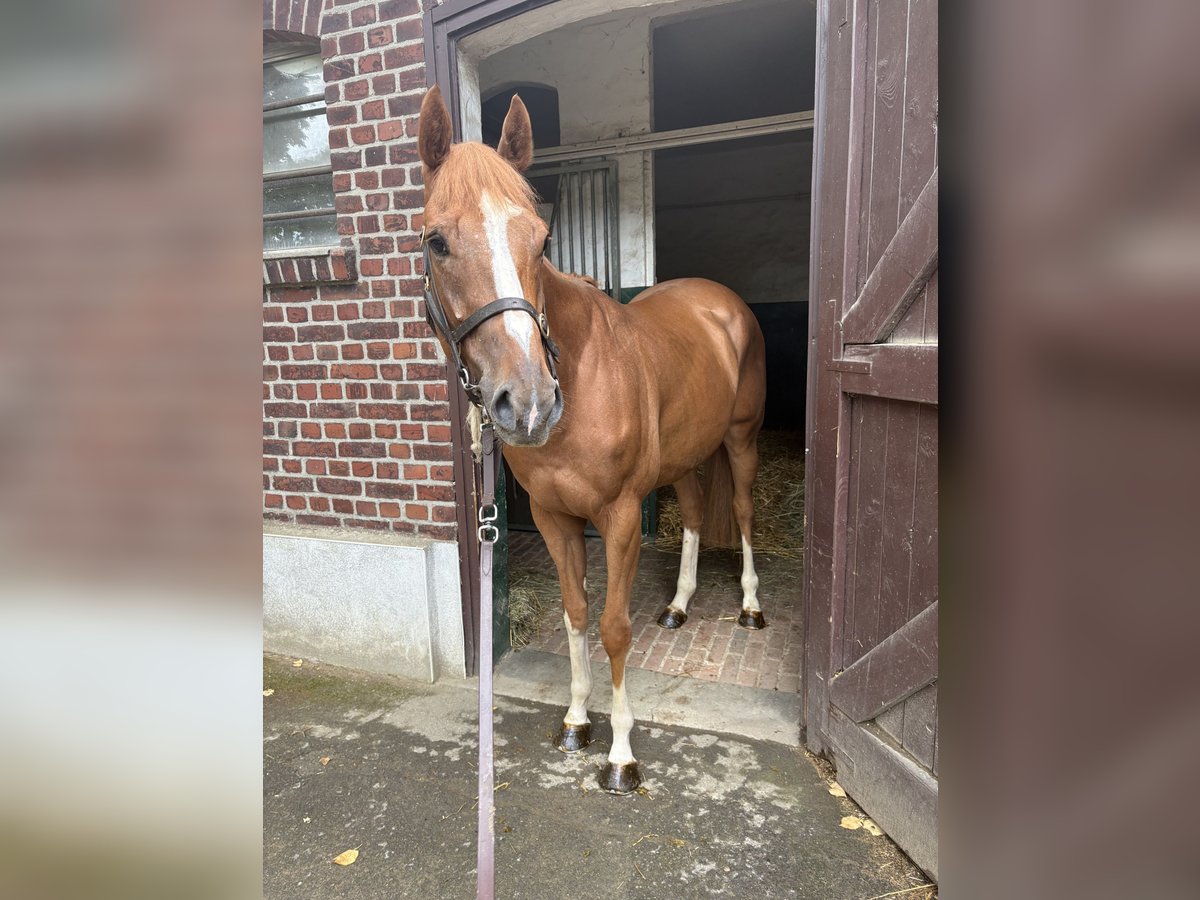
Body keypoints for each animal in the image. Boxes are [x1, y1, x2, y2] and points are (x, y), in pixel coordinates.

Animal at [417, 86, 767, 793]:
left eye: (541, 236)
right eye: (437, 241)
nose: (528, 403)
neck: (580, 373)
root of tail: (722, 302)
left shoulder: (622, 515)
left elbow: (613, 628)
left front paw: (622, 754)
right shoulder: (555, 517)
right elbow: (576, 615)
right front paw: (577, 721)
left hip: (741, 441)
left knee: (742, 512)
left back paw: (748, 607)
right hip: (684, 459)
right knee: (695, 514)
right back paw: (679, 605)